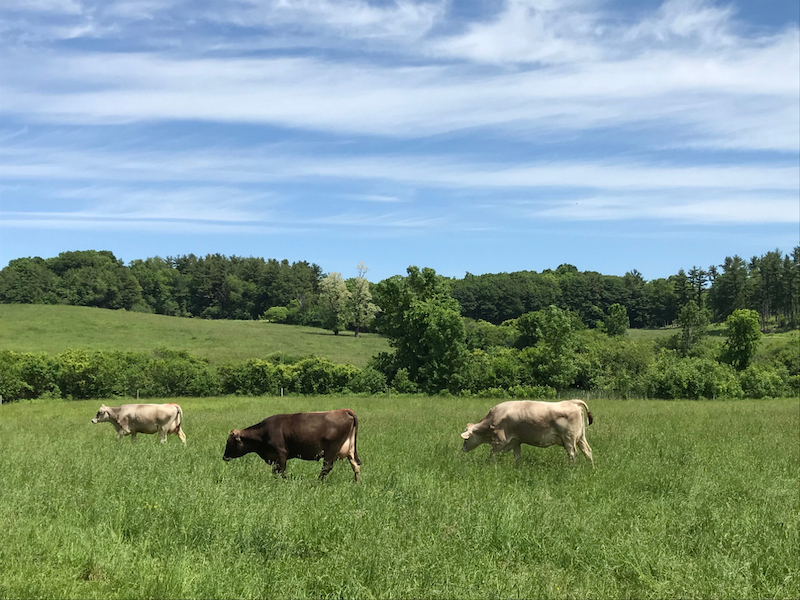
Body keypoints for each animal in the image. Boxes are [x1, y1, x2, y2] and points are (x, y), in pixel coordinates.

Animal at [225, 408, 362, 482]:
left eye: (229, 442)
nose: (224, 457)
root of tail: (344, 411)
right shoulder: (274, 458)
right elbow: (275, 471)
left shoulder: (281, 453)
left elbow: (282, 471)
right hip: (350, 449)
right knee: (356, 465)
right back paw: (357, 483)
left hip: (331, 449)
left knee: (326, 467)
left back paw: (316, 483)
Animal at [462, 400, 592, 466]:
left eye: (466, 439)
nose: (463, 449)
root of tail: (572, 402)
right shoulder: (515, 442)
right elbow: (518, 457)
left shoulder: (501, 441)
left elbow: (492, 454)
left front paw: (490, 465)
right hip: (580, 438)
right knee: (588, 452)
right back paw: (591, 468)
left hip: (569, 439)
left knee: (572, 454)